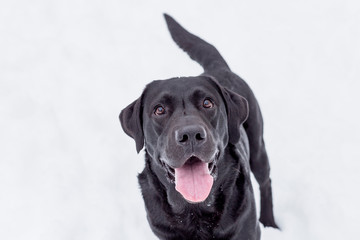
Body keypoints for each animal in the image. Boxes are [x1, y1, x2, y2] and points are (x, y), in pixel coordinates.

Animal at [119, 14, 278, 239]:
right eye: (159, 110)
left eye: (207, 103)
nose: (191, 134)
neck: (195, 209)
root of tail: (218, 67)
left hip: (257, 146)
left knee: (266, 181)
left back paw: (270, 223)